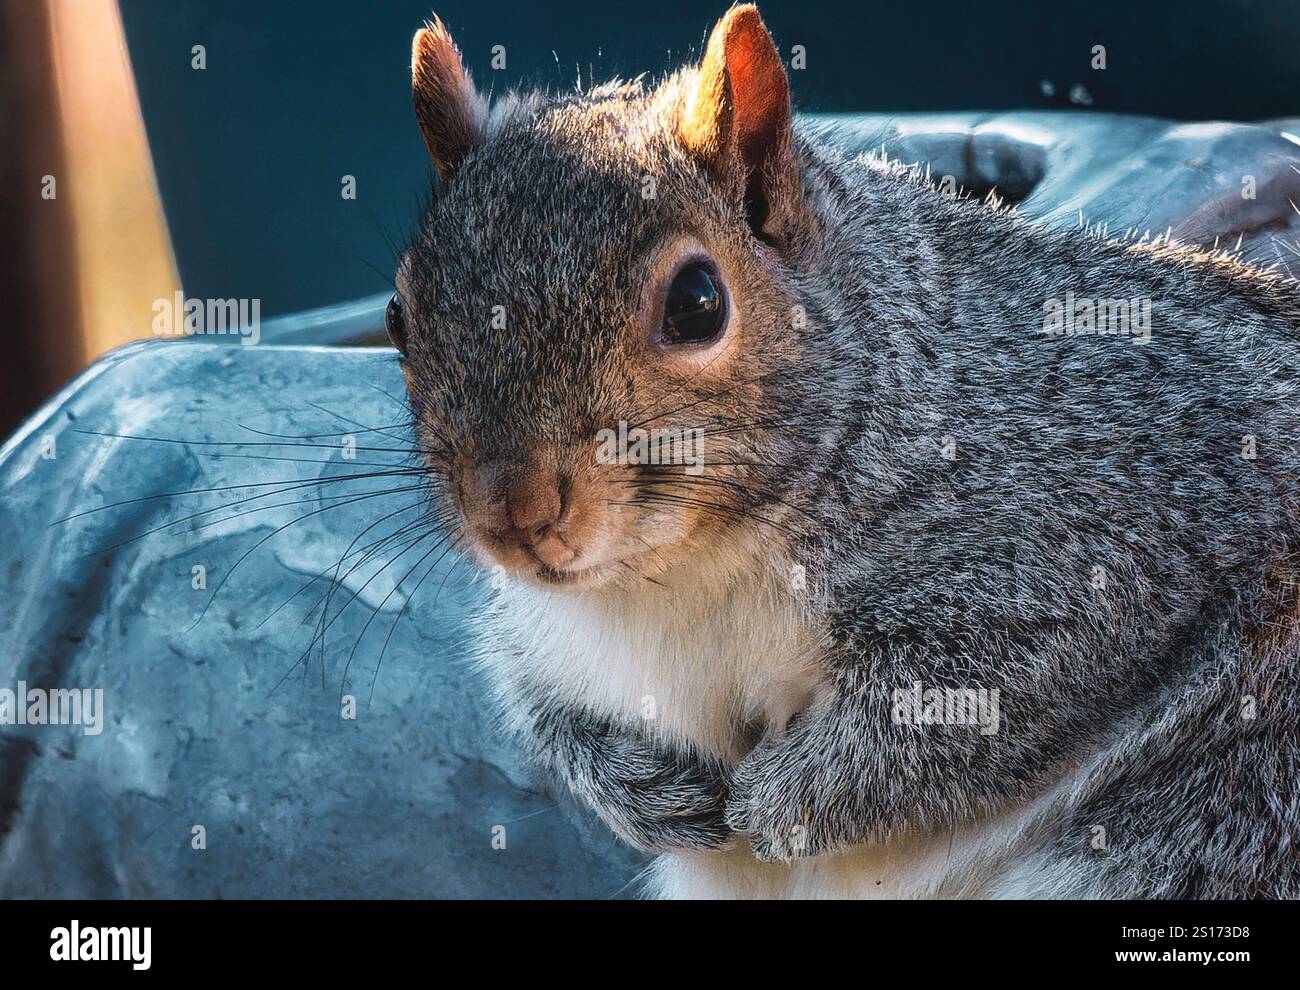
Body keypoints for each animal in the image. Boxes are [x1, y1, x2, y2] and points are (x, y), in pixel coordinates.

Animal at [389, 5, 1300, 897]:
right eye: (401, 317)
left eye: (697, 302)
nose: (513, 516)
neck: (690, 566)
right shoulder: (558, 643)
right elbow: (548, 711)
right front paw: (637, 789)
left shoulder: (1120, 512)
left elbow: (991, 695)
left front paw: (781, 799)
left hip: (1215, 812)